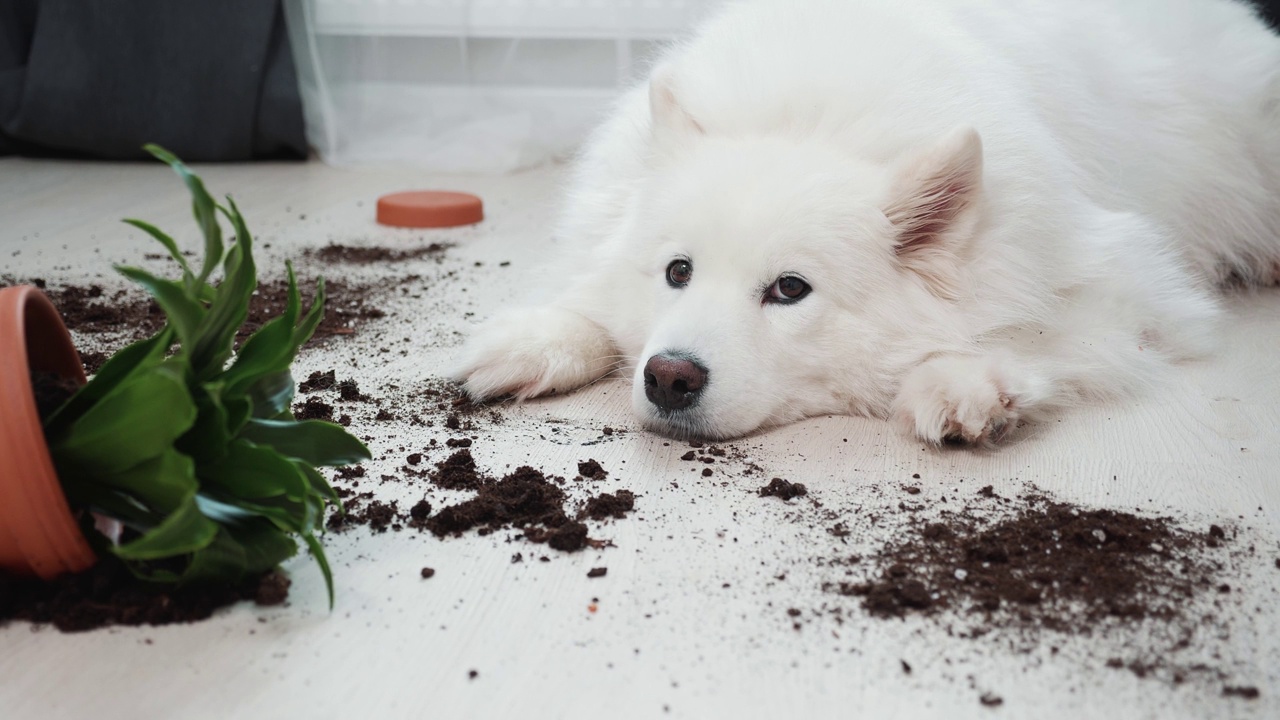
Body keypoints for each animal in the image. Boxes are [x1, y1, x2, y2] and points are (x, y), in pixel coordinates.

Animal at [453, 0, 1280, 443]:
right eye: (677, 272)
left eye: (789, 290)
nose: (668, 378)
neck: (811, 116)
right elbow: (590, 301)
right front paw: (535, 341)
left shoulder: (1130, 284)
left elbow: (1038, 330)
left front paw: (961, 381)